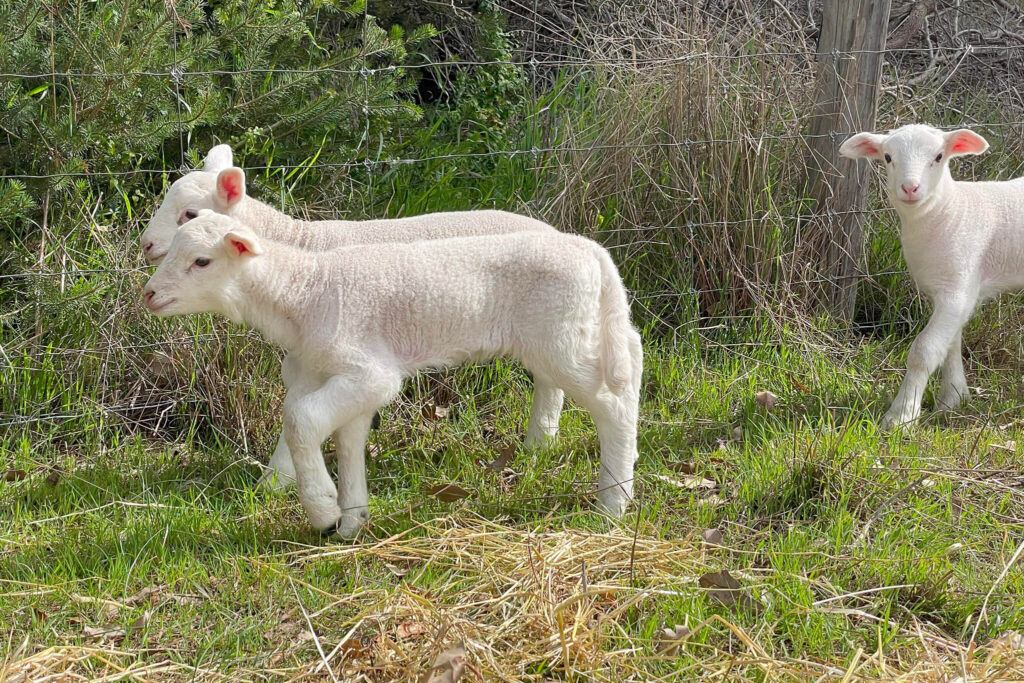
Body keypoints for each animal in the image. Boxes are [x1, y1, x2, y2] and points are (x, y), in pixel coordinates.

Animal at [139, 145, 561, 485]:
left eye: (189, 213)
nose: (146, 244)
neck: (292, 246)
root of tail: (556, 233)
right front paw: (280, 480)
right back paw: (540, 444)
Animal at [144, 210, 638, 536]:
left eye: (202, 261)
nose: (148, 294)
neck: (303, 291)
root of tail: (589, 249)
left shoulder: (371, 372)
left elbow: (300, 420)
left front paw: (322, 510)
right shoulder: (348, 379)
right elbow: (348, 440)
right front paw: (351, 520)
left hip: (559, 334)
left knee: (613, 404)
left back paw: (613, 502)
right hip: (572, 329)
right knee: (629, 362)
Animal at [839, 120, 1024, 423]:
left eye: (938, 157)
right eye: (887, 157)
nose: (910, 187)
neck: (950, 209)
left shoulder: (956, 289)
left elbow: (924, 350)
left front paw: (901, 415)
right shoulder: (955, 291)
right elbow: (950, 345)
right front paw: (953, 399)